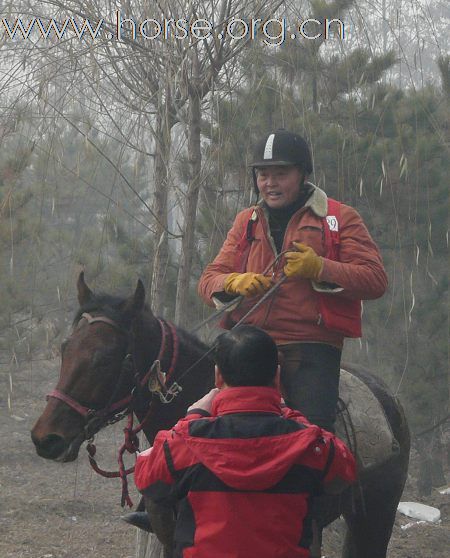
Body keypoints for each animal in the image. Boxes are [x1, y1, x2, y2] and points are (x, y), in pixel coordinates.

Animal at [31, 276, 412, 558]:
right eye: (65, 349)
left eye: (106, 358)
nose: (46, 438)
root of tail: (388, 397)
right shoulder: (171, 535)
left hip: (375, 516)